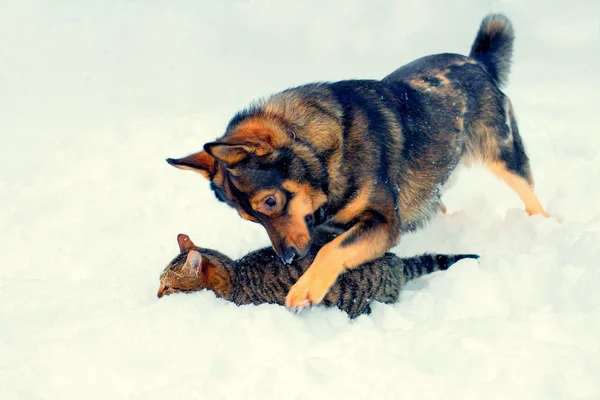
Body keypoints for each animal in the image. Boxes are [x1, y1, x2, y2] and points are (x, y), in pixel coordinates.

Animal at [166, 14, 548, 310]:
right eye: (250, 218)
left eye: (271, 202)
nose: (288, 259)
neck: (325, 155)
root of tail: (477, 62)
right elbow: (332, 244)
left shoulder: (383, 222)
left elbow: (332, 250)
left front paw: (306, 286)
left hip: (504, 154)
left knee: (529, 193)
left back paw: (543, 225)